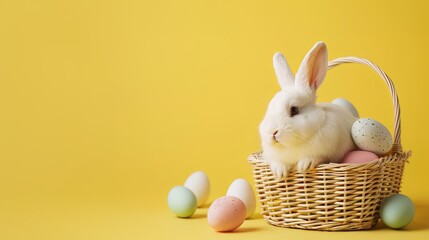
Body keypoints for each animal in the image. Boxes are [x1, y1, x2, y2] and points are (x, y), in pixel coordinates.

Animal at [260, 42, 356, 178]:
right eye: (269, 108)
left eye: (294, 110)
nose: (272, 132)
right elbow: (277, 162)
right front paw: (280, 172)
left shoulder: (327, 155)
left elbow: (317, 157)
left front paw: (304, 165)